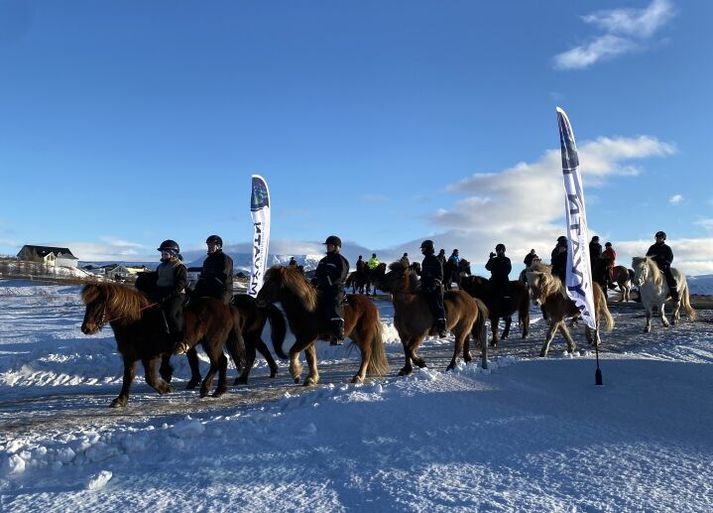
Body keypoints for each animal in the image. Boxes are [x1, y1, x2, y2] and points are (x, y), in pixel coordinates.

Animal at [81, 280, 245, 404]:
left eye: (97, 304)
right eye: (88, 304)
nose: (86, 328)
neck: (137, 321)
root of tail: (226, 307)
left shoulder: (150, 356)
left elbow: (150, 378)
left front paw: (166, 388)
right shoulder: (129, 356)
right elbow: (128, 377)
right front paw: (120, 400)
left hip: (212, 342)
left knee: (218, 362)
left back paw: (206, 388)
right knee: (222, 361)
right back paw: (219, 390)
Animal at [254, 264, 390, 384]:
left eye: (272, 282)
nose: (258, 299)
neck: (306, 308)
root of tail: (372, 306)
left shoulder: (307, 337)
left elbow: (293, 351)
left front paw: (296, 374)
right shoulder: (305, 339)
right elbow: (310, 358)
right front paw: (312, 378)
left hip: (364, 335)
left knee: (366, 353)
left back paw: (359, 377)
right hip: (354, 334)